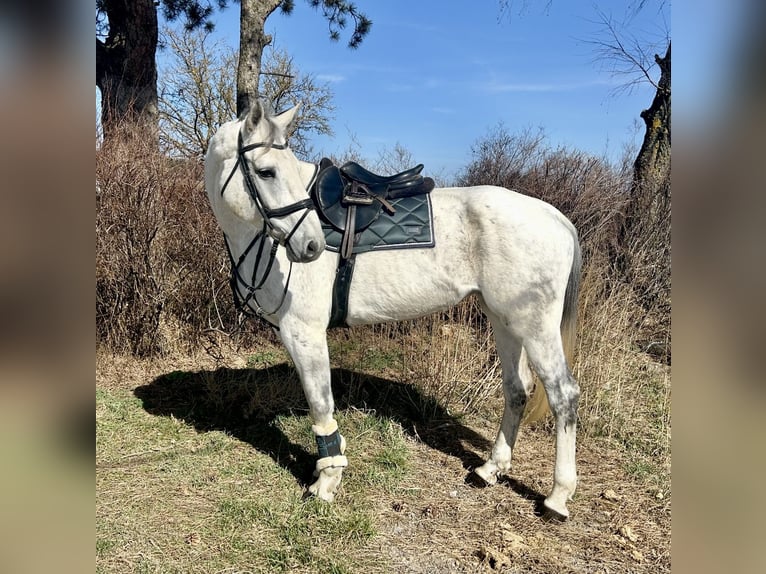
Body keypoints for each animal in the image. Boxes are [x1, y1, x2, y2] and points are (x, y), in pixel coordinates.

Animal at [204, 102, 584, 520]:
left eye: (276, 168)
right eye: (266, 171)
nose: (311, 246)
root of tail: (556, 218)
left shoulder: (303, 332)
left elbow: (321, 403)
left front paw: (326, 482)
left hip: (535, 325)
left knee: (563, 394)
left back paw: (558, 497)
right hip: (505, 320)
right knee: (517, 389)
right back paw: (490, 469)